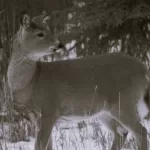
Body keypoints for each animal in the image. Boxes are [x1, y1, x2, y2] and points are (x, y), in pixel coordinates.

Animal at [7, 12, 150, 150]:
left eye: (48, 30)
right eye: (40, 34)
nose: (60, 44)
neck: (30, 83)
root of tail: (143, 68)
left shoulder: (49, 110)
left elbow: (40, 145)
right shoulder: (37, 119)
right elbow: (47, 146)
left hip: (124, 102)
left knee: (141, 132)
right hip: (105, 111)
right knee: (121, 132)